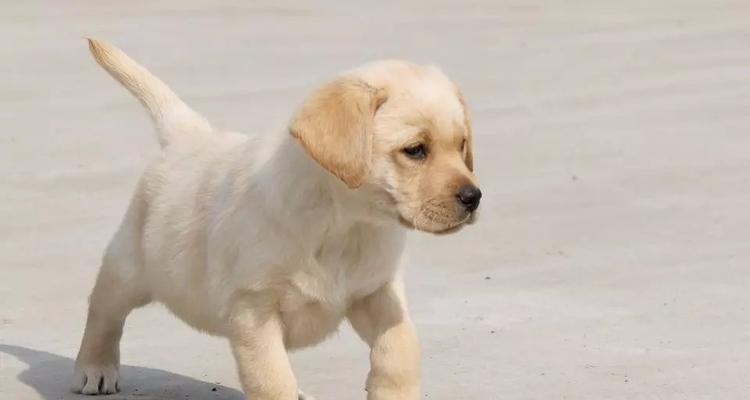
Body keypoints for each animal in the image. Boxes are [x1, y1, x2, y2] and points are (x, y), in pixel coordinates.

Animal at [72, 38, 482, 400]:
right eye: (415, 150)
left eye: (462, 145)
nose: (473, 198)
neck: (345, 224)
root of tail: (188, 136)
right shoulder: (254, 309)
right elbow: (272, 380)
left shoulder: (376, 292)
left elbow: (400, 349)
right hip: (131, 267)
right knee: (103, 311)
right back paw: (95, 367)